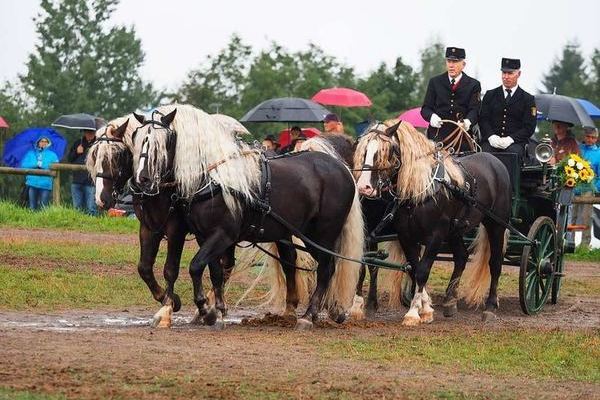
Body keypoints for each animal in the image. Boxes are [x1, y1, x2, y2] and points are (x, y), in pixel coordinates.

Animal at [133, 104, 364, 330]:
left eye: (161, 143)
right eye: (138, 138)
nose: (142, 180)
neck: (214, 179)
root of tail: (342, 168)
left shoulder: (221, 234)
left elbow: (195, 266)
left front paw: (205, 309)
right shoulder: (204, 235)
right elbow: (215, 271)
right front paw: (217, 310)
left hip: (322, 234)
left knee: (326, 268)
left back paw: (309, 316)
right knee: (300, 263)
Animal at [356, 119, 510, 324]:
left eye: (385, 151)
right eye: (365, 150)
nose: (363, 187)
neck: (420, 191)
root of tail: (495, 161)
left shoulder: (435, 236)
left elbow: (422, 270)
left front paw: (414, 312)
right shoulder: (406, 236)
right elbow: (414, 269)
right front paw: (425, 308)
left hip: (496, 225)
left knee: (495, 262)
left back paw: (490, 306)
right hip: (455, 230)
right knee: (461, 257)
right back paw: (450, 302)